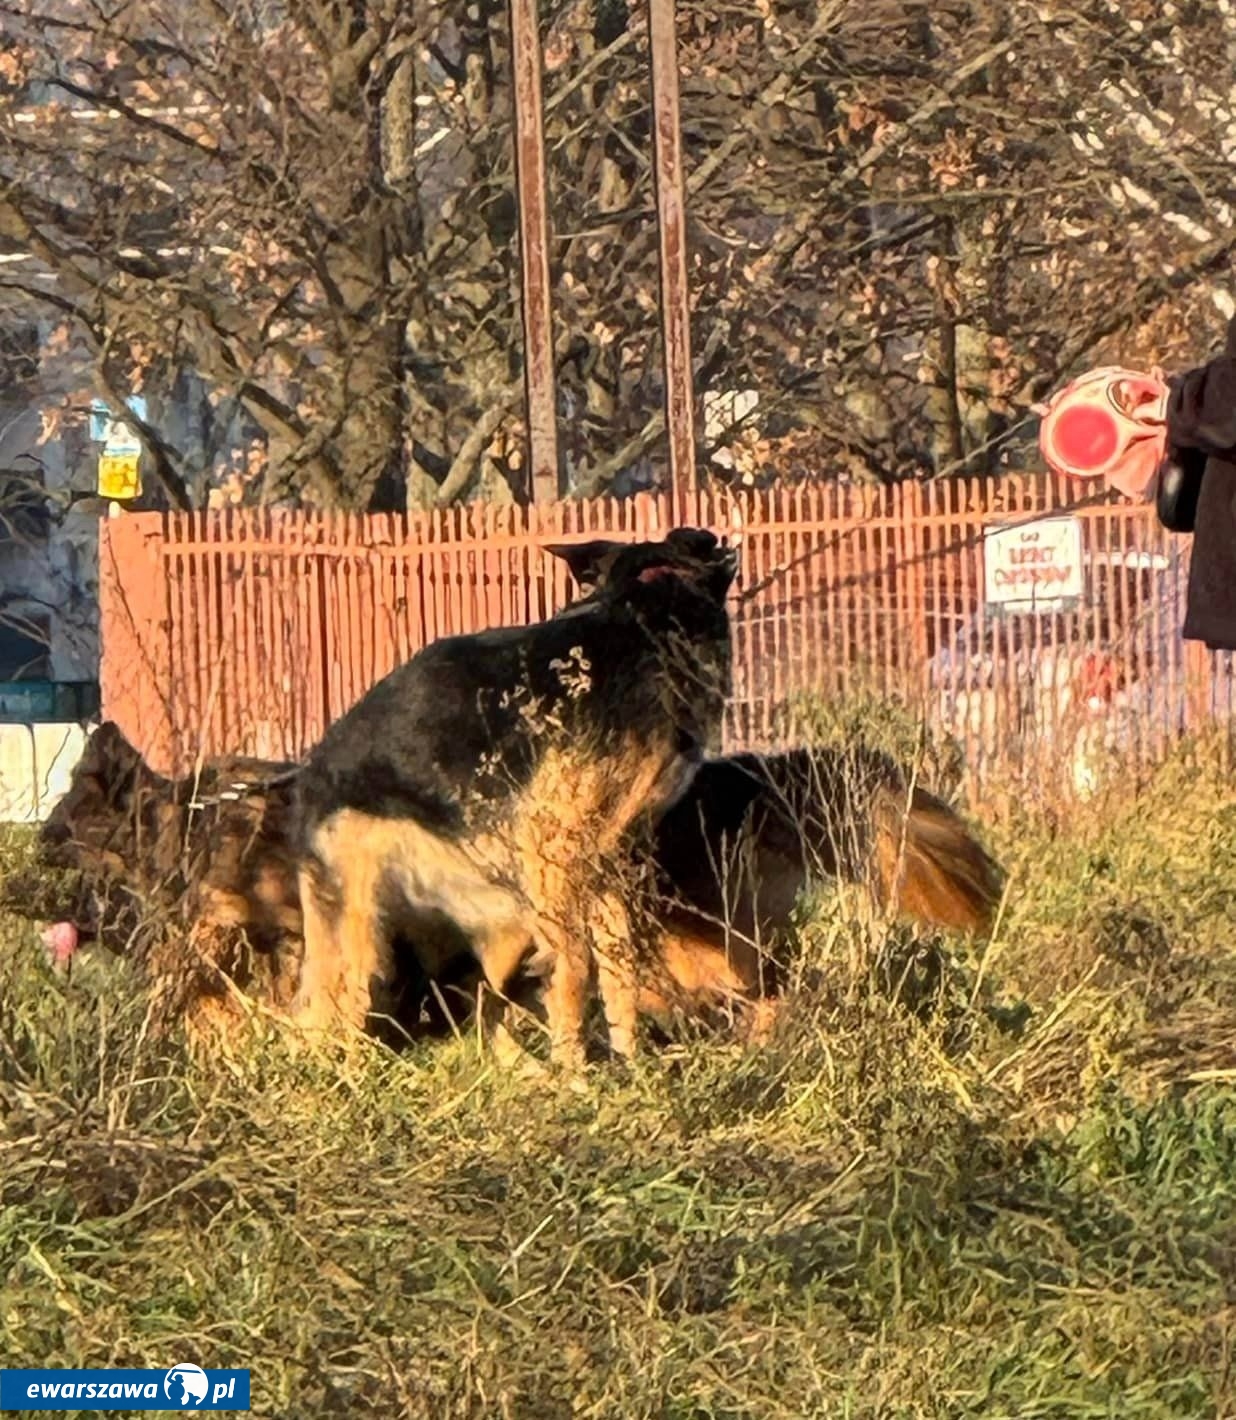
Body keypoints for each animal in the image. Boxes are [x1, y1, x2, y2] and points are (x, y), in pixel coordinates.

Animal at [291, 528, 739, 1067]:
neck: (637, 613)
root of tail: (308, 783)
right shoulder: (555, 854)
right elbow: (574, 968)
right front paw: (576, 1069)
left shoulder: (611, 860)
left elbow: (619, 969)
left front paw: (629, 1059)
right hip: (366, 933)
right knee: (331, 1016)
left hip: (504, 922)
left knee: (485, 1009)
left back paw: (522, 1068)